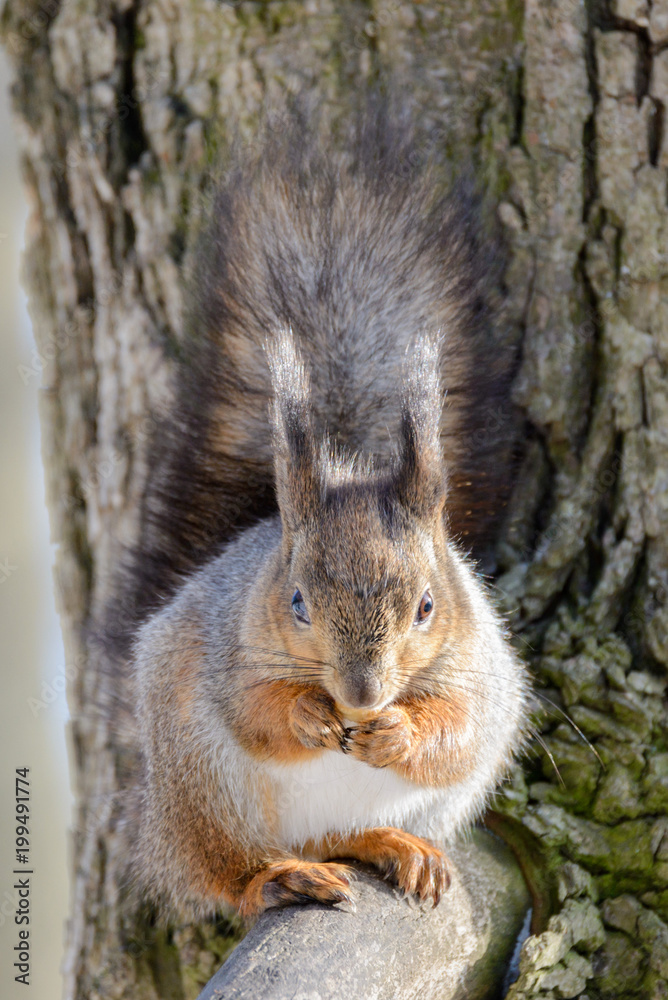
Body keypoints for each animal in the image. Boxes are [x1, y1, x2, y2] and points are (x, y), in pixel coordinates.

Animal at [107, 107, 529, 921]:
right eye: (297, 600)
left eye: (428, 606)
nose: (361, 696)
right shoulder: (230, 645)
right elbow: (255, 711)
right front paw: (305, 714)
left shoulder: (479, 669)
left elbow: (457, 731)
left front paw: (398, 731)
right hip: (201, 785)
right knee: (228, 872)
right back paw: (276, 877)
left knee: (341, 835)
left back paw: (395, 847)